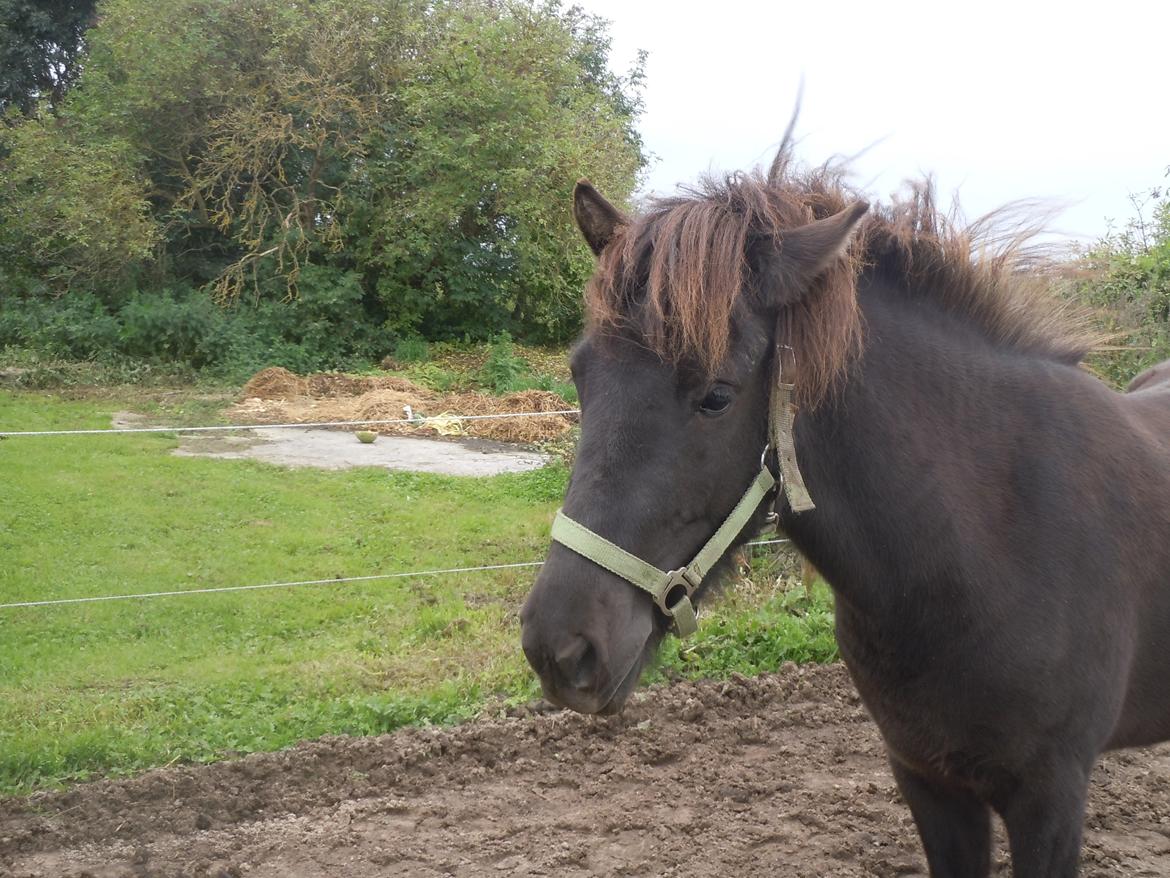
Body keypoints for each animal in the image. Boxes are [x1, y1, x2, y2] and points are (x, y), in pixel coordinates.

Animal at [521, 153, 1170, 878]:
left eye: (717, 396)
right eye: (581, 375)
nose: (560, 648)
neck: (991, 539)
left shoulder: (1050, 800)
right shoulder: (928, 780)